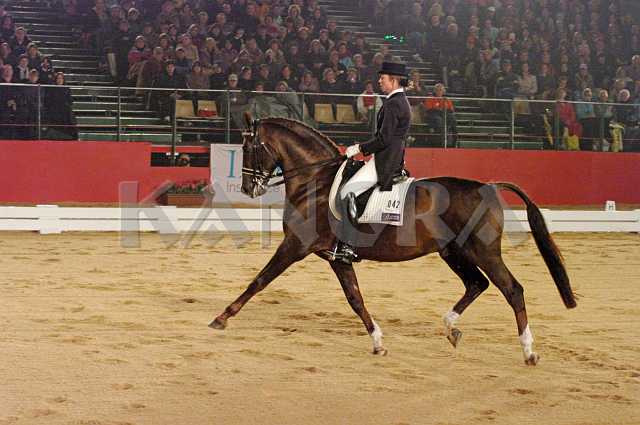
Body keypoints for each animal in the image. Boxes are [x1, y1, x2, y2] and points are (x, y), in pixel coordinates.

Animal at [209, 115, 577, 365]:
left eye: (249, 147)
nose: (249, 189)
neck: (316, 180)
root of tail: (487, 186)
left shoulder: (295, 246)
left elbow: (259, 281)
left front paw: (222, 317)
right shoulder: (335, 257)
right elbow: (355, 299)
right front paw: (377, 342)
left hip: (483, 251)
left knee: (512, 289)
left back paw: (528, 351)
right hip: (453, 252)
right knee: (477, 284)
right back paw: (450, 328)